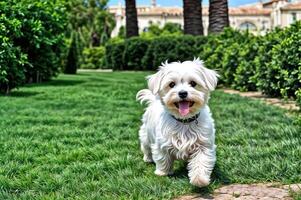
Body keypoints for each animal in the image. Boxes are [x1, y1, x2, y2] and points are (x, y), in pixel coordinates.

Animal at [136, 58, 218, 188]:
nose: (182, 93)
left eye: (193, 83)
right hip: (145, 134)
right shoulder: (162, 143)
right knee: (146, 147)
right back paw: (148, 158)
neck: (184, 121)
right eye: (171, 84)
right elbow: (163, 158)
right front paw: (162, 172)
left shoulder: (204, 144)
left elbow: (201, 161)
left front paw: (199, 180)